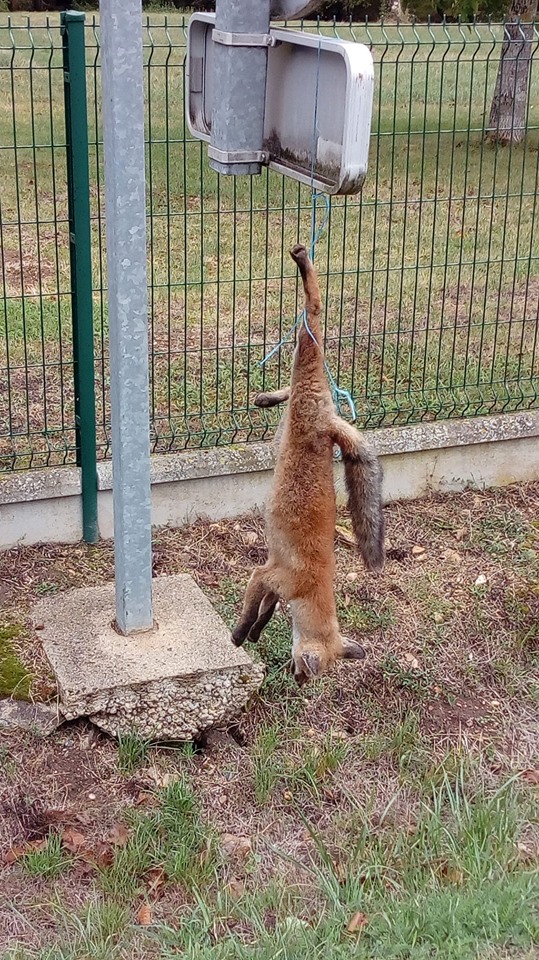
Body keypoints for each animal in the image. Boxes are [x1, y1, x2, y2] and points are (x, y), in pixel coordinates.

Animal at [232, 244, 385, 686]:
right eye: (306, 669)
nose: (299, 683)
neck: (312, 587)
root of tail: (327, 420)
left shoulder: (270, 578)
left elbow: (265, 612)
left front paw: (256, 632)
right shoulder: (266, 575)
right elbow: (250, 609)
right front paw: (237, 637)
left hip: (299, 390)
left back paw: (266, 397)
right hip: (306, 351)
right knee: (313, 306)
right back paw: (303, 262)